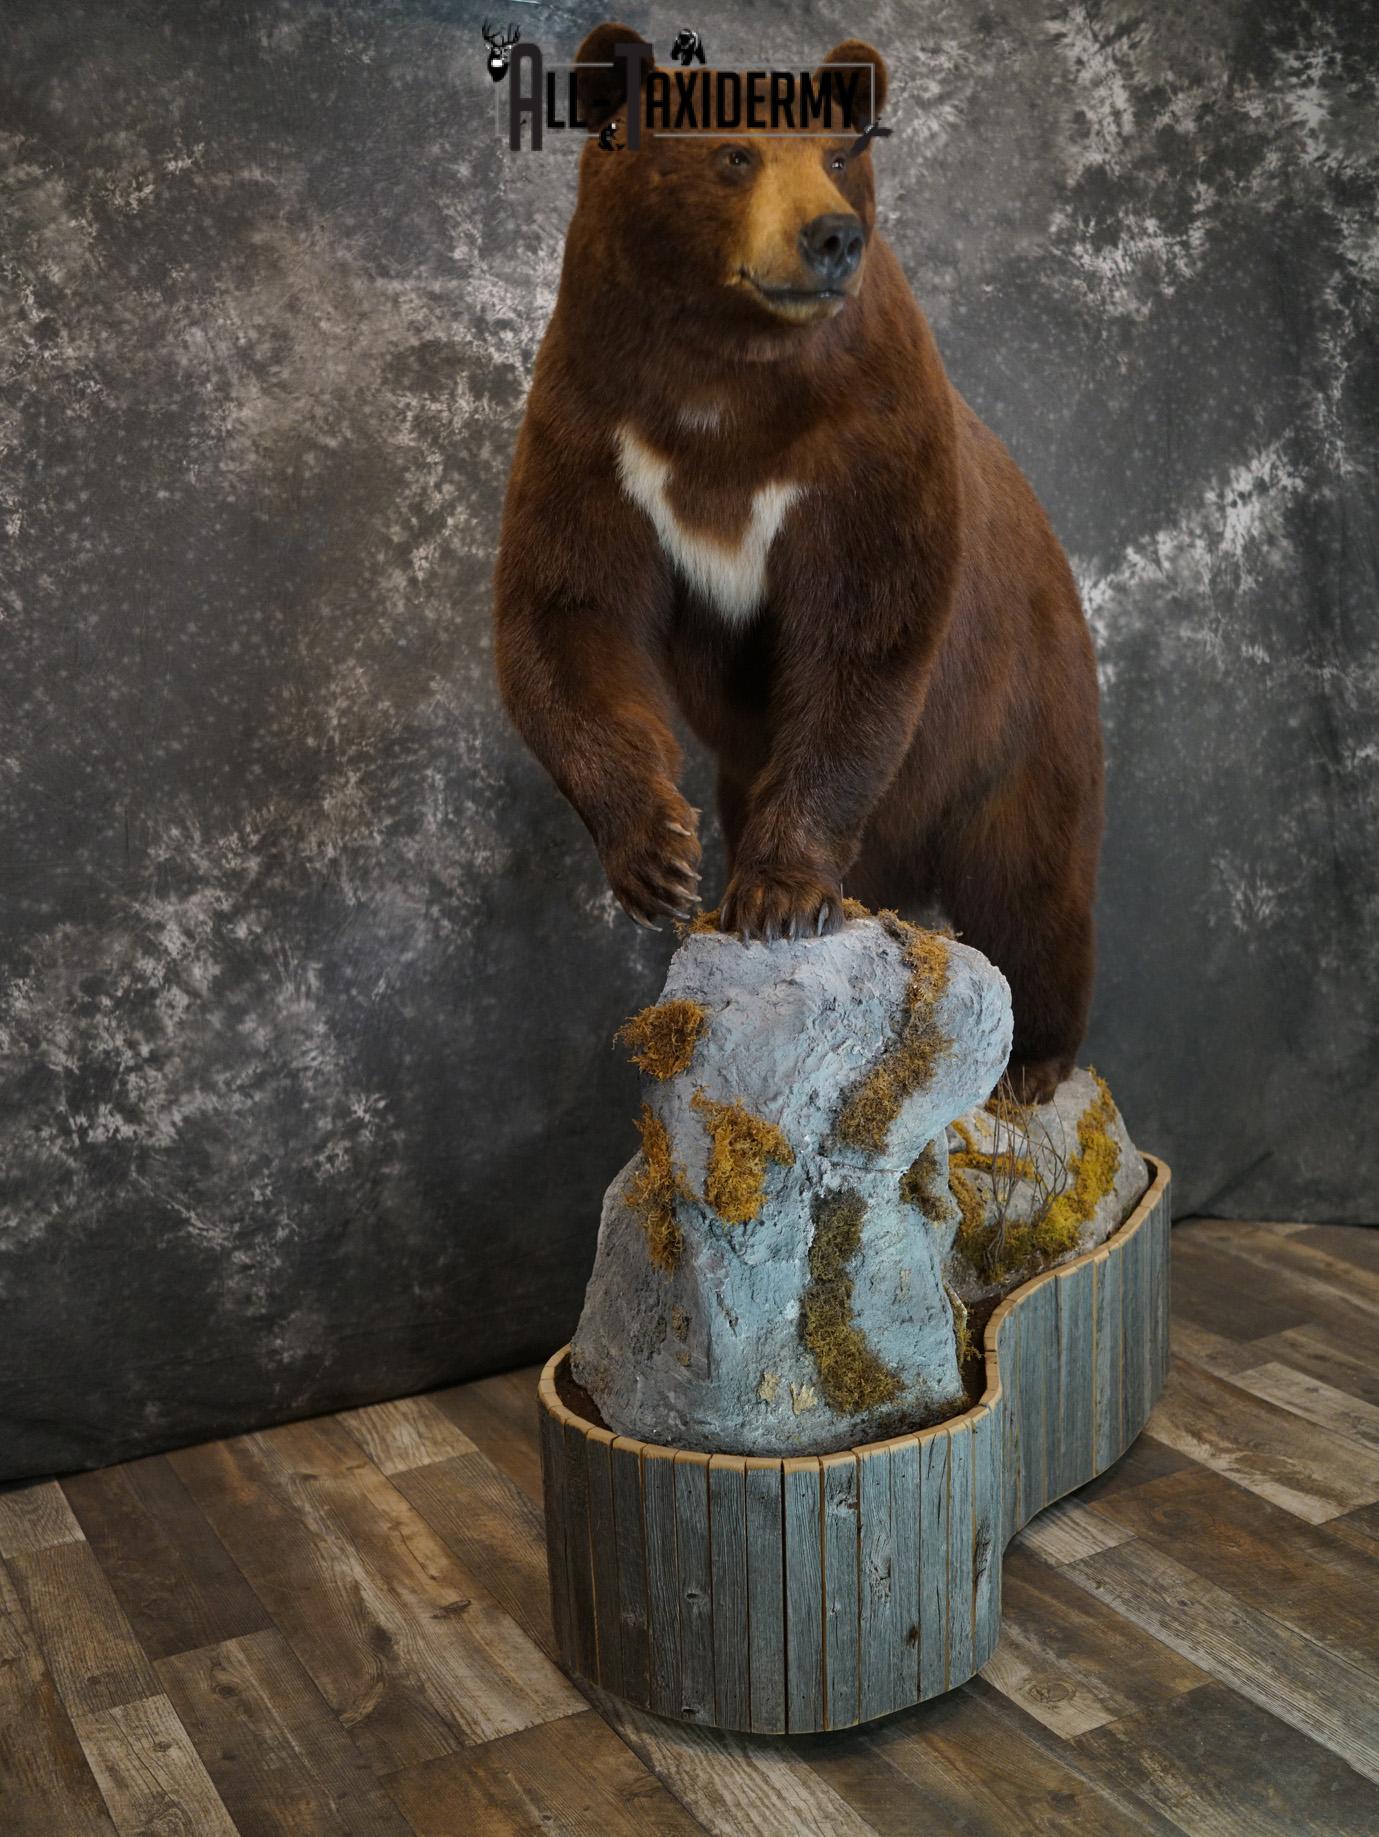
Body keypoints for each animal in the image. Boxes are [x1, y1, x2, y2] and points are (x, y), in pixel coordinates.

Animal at [493, 27, 1104, 1104]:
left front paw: (779, 893)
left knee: (1027, 877)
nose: (830, 237)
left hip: (1021, 713)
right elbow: (567, 608)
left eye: (836, 154)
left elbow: (862, 636)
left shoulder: (867, 442)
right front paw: (660, 859)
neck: (722, 380)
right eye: (734, 153)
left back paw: (1032, 1058)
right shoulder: (597, 425)